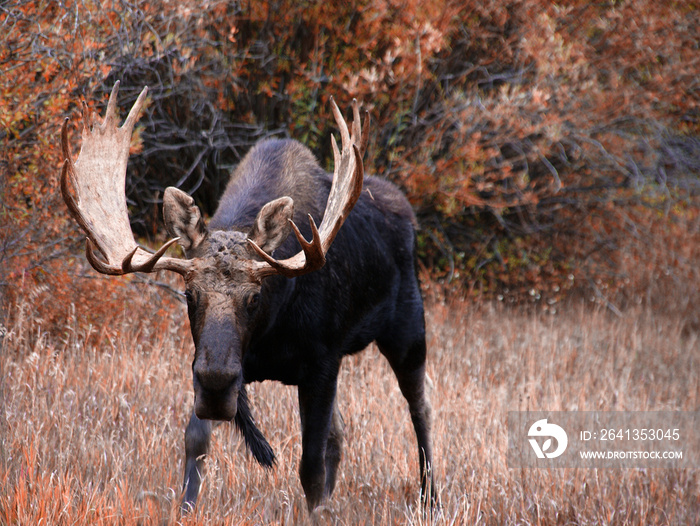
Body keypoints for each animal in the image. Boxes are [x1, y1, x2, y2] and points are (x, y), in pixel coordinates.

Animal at [58, 83, 432, 516]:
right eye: (189, 294)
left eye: (254, 297)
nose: (216, 383)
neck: (270, 333)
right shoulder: (222, 367)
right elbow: (196, 443)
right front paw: (185, 511)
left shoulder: (322, 362)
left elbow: (310, 468)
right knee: (341, 434)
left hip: (408, 329)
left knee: (420, 409)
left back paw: (431, 498)